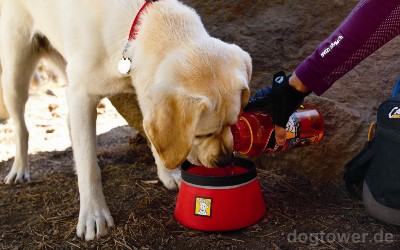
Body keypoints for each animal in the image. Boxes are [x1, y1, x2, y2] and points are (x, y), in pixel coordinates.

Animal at [0, 0, 250, 240]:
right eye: (202, 134)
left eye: (232, 123)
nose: (226, 161)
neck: (137, 26)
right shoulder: (82, 96)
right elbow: (89, 167)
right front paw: (93, 215)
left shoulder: (141, 92)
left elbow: (155, 137)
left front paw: (168, 174)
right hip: (16, 75)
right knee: (22, 128)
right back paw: (20, 169)